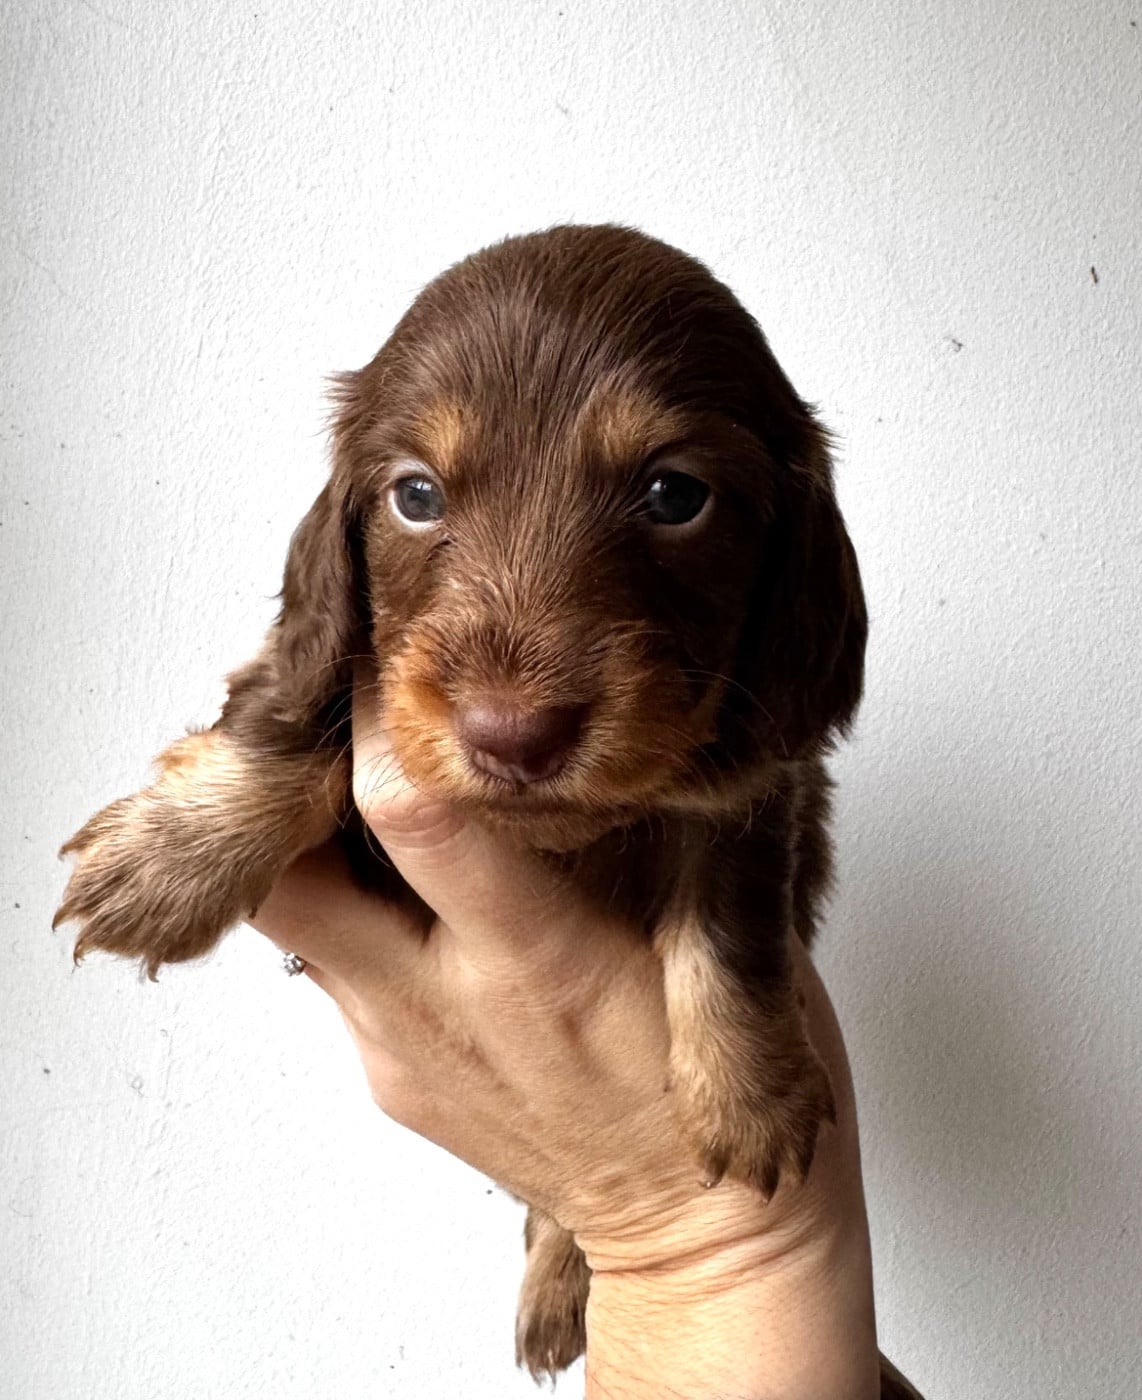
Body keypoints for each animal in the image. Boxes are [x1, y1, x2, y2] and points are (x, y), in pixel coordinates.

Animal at [56, 224, 917, 1388]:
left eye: (674, 495)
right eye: (415, 495)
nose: (512, 734)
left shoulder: (761, 790)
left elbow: (731, 920)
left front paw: (751, 1092)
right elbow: (304, 720)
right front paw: (170, 858)